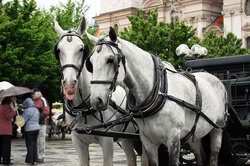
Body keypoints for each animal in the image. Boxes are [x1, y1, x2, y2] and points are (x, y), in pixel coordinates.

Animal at [54, 18, 139, 166]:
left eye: (81, 49)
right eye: (58, 50)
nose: (70, 84)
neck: (83, 107)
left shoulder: (107, 141)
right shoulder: (78, 142)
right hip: (126, 138)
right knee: (131, 157)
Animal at [86, 27, 229, 165]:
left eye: (110, 60)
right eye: (90, 63)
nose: (96, 100)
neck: (159, 92)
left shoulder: (173, 139)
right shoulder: (148, 141)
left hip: (217, 128)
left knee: (214, 157)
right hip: (195, 134)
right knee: (200, 158)